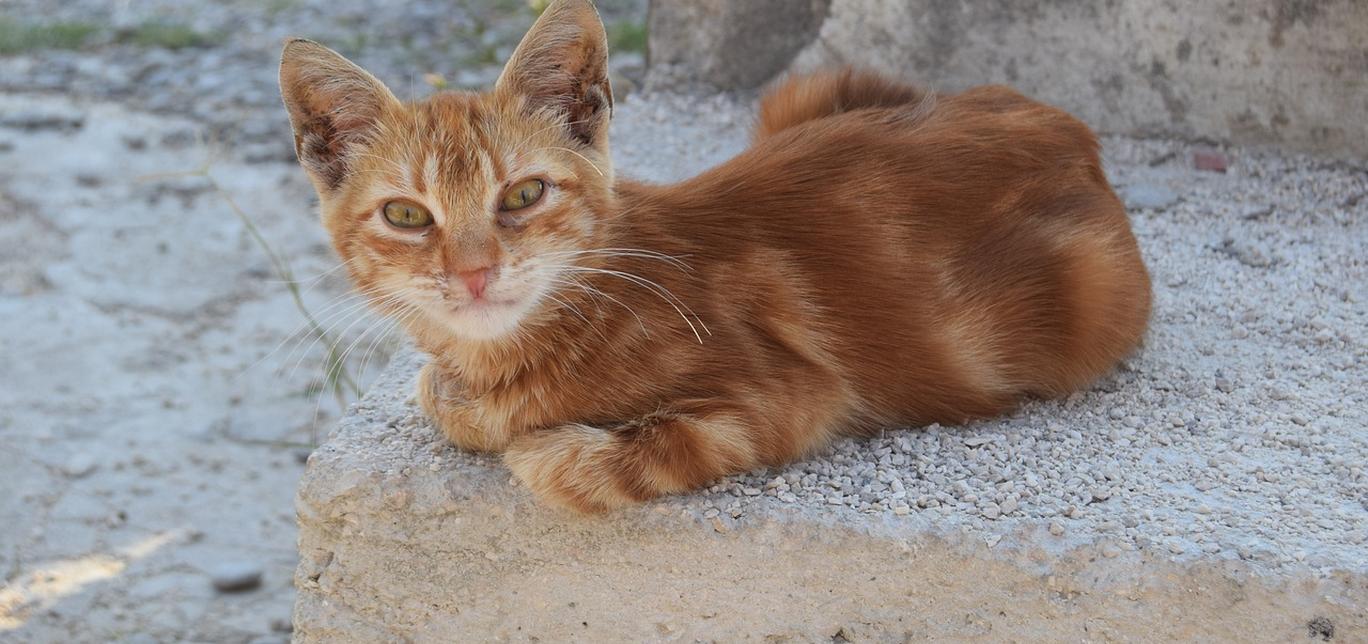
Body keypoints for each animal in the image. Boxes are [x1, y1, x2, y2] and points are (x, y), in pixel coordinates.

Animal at [280, 0, 1154, 514]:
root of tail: (1067, 127)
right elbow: (441, 390)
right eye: (405, 215)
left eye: (524, 195)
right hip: (806, 92)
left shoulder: (786, 398)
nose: (472, 272)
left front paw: (532, 438)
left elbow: (598, 454)